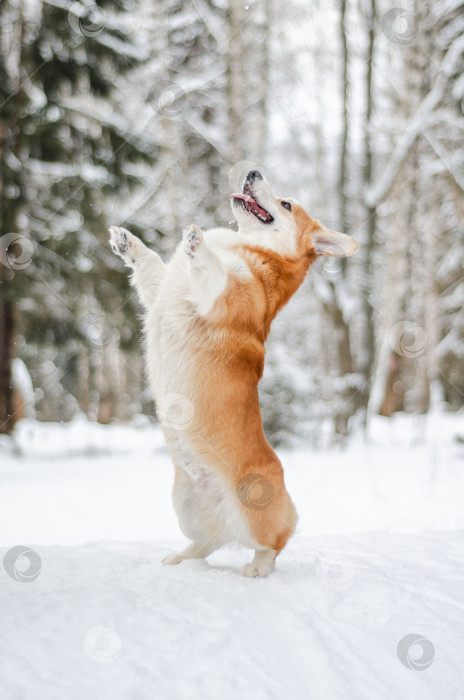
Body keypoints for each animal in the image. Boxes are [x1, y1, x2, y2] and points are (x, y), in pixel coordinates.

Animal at [109, 170, 358, 576]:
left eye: (286, 204)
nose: (253, 172)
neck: (256, 251)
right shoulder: (162, 289)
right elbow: (151, 265)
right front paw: (128, 241)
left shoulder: (220, 296)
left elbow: (212, 271)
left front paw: (198, 243)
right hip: (184, 506)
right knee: (207, 541)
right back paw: (180, 558)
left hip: (254, 508)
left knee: (275, 543)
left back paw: (257, 567)